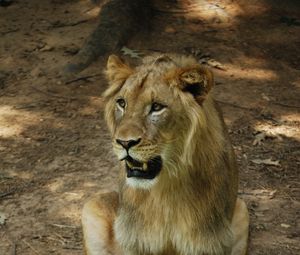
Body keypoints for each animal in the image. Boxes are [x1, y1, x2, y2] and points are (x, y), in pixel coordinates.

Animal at [81, 54, 250, 255]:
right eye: (122, 103)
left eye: (156, 107)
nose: (124, 143)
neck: (166, 186)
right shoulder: (134, 239)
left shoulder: (209, 241)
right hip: (93, 206)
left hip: (241, 210)